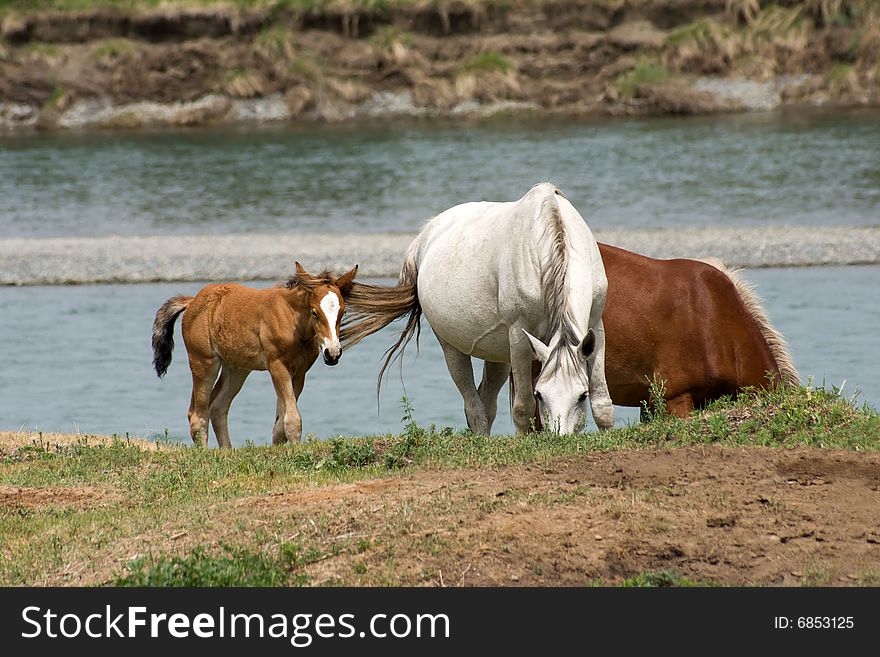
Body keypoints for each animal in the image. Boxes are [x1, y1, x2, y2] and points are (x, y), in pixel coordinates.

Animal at [154, 262, 358, 446]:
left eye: (342, 312)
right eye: (314, 312)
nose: (332, 353)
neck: (291, 320)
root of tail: (191, 301)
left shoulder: (299, 373)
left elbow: (280, 424)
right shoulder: (277, 366)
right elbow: (292, 420)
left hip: (236, 369)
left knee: (217, 408)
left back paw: (227, 452)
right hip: (203, 362)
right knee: (198, 416)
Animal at [342, 182, 612, 434]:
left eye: (582, 395)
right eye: (540, 394)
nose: (560, 437)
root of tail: (425, 236)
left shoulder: (595, 327)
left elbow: (603, 406)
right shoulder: (519, 336)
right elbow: (522, 408)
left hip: (500, 356)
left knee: (487, 403)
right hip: (453, 348)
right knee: (474, 409)